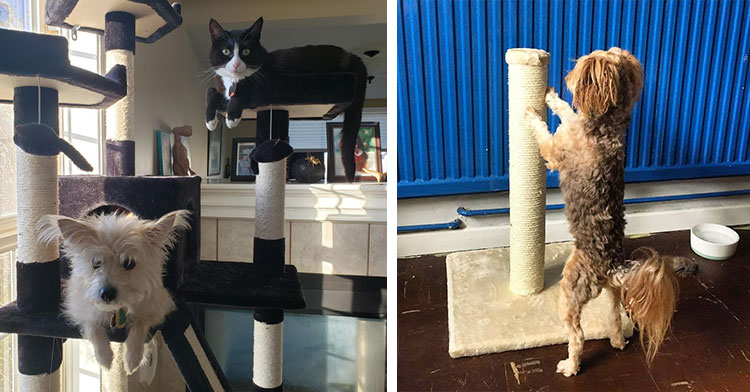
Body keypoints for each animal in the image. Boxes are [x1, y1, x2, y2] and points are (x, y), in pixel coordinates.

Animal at [37, 210, 191, 376]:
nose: (107, 294)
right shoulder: (78, 309)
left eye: (129, 263)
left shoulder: (160, 306)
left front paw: (132, 358)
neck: (115, 310)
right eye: (95, 263)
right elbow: (93, 328)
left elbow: (139, 324)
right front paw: (104, 357)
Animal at [206, 16, 370, 182]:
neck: (234, 81)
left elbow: (244, 90)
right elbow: (210, 92)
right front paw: (211, 121)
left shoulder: (267, 82)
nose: (236, 64)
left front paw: (231, 117)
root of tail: (351, 55)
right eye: (226, 51)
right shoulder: (222, 88)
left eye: (246, 51)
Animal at [524, 47, 680, 378]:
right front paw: (551, 96)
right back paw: (618, 341)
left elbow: (545, 134)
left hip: (571, 290)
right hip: (611, 293)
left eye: (581, 63)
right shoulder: (573, 123)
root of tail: (611, 268)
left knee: (578, 336)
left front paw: (531, 112)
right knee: (616, 317)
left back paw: (570, 366)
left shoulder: (556, 152)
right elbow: (567, 110)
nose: (566, 75)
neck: (606, 125)